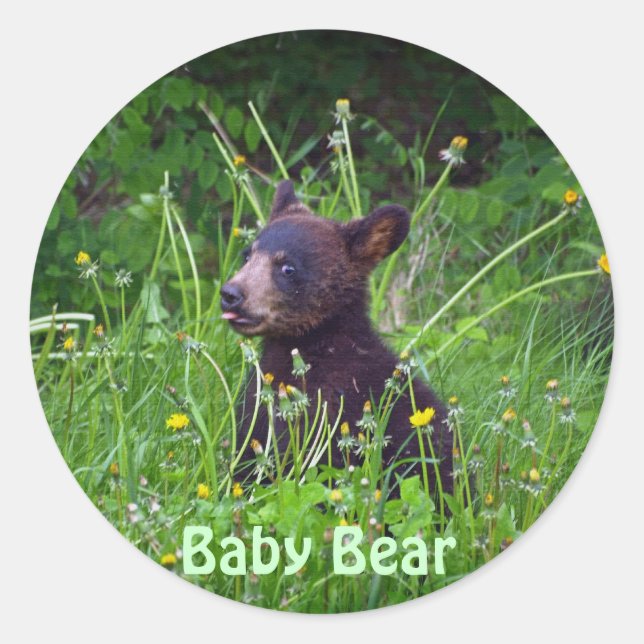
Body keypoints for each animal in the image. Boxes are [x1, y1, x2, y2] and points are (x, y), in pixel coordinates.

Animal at [220, 180, 453, 498]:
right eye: (247, 255)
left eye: (288, 267)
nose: (230, 294)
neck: (316, 348)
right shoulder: (257, 407)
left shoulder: (332, 413)